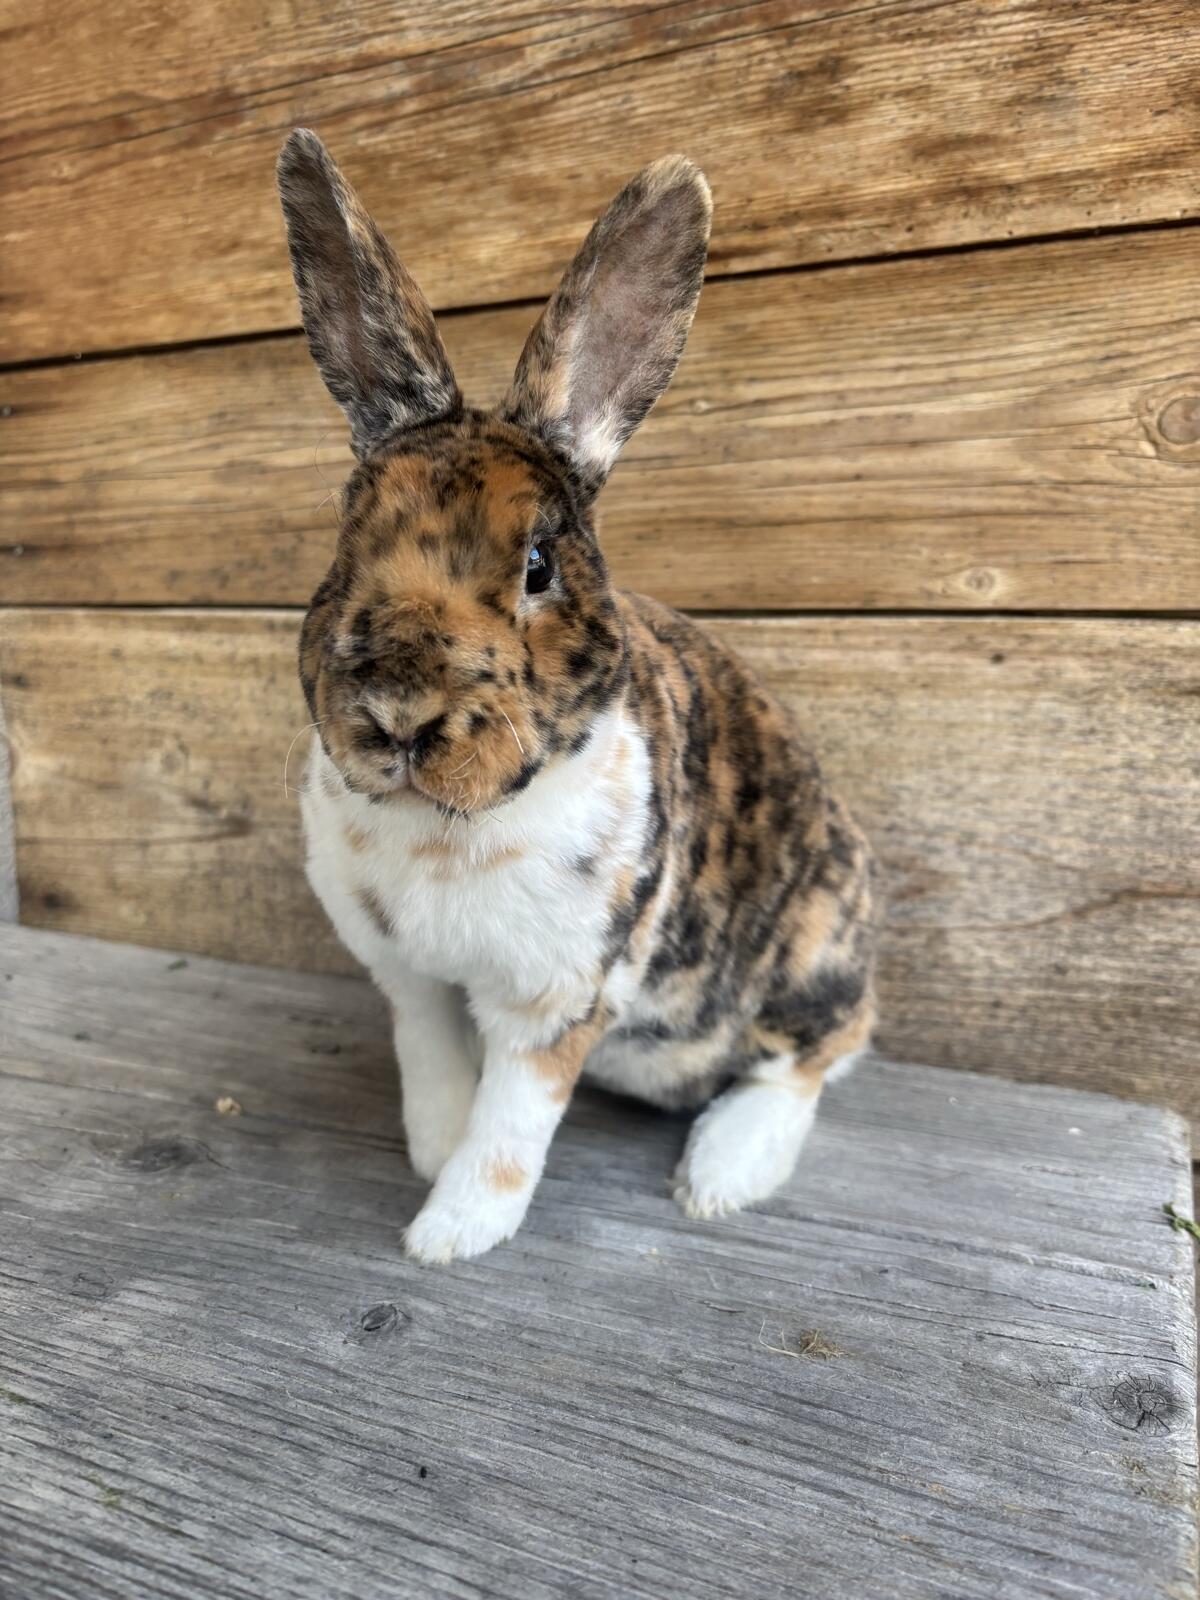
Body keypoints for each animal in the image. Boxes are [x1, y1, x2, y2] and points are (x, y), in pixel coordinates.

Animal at [276, 130, 878, 1264]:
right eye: (344, 540)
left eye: (540, 565)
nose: (397, 713)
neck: (446, 823)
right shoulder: (411, 980)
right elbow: (436, 1069)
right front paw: (430, 1151)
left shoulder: (559, 997)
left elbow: (512, 1125)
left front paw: (451, 1230)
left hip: (815, 950)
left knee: (812, 1057)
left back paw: (722, 1174)